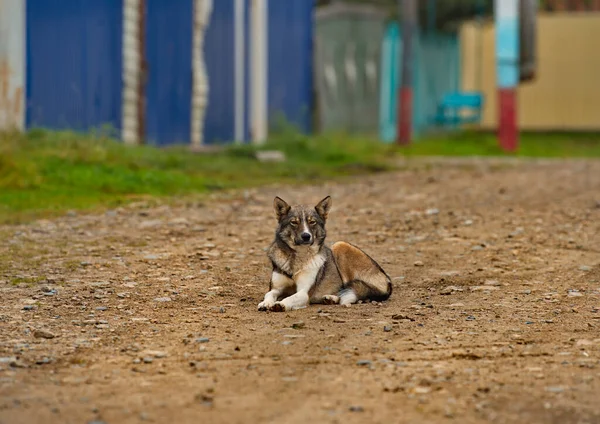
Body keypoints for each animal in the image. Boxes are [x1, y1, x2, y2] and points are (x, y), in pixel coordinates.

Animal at [258, 195, 394, 312]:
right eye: (294, 222)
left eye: (312, 222)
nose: (306, 236)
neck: (299, 258)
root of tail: (387, 279)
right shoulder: (277, 288)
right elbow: (269, 293)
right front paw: (265, 303)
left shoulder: (304, 292)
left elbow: (291, 297)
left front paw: (281, 304)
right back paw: (330, 298)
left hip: (339, 245)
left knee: (351, 291)